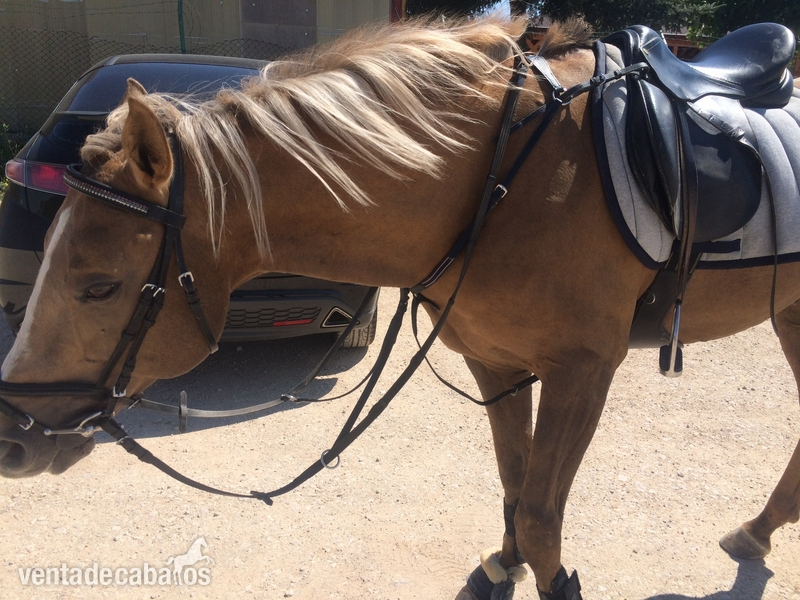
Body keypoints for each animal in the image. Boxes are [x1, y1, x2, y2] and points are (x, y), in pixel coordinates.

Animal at [0, 15, 798, 600]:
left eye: (99, 286)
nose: (14, 437)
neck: (508, 178)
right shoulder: (497, 361)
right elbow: (514, 487)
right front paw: (501, 566)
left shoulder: (584, 369)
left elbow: (542, 516)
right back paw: (757, 530)